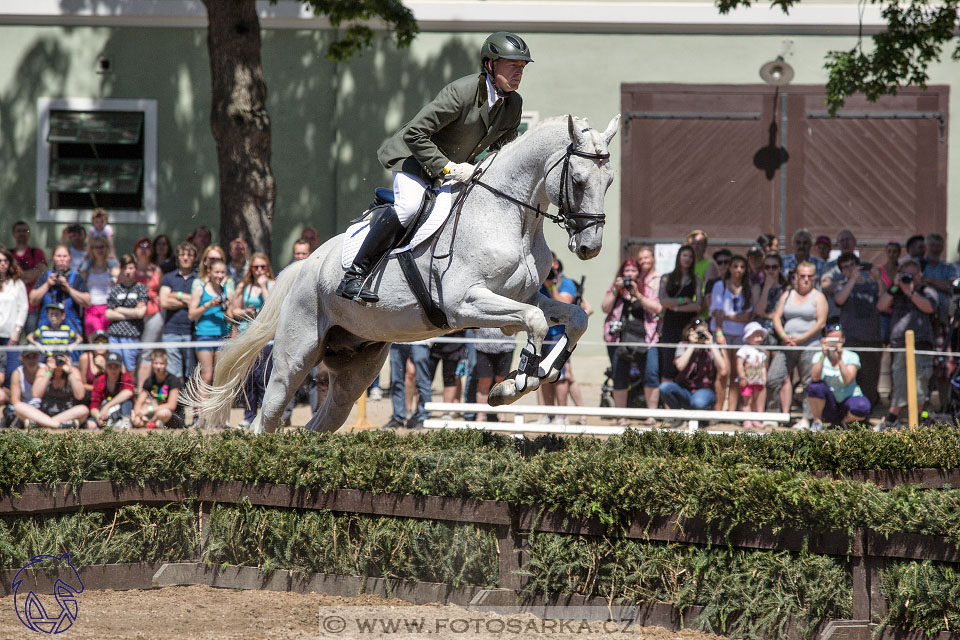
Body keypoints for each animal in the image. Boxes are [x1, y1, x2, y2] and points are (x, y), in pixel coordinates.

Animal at [191, 115, 620, 436]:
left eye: (610, 182)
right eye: (578, 181)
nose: (590, 247)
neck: (510, 216)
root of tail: (305, 264)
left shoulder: (525, 296)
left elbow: (573, 318)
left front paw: (539, 372)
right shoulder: (465, 303)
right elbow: (534, 322)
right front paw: (515, 383)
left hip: (357, 367)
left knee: (321, 422)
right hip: (295, 356)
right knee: (267, 417)